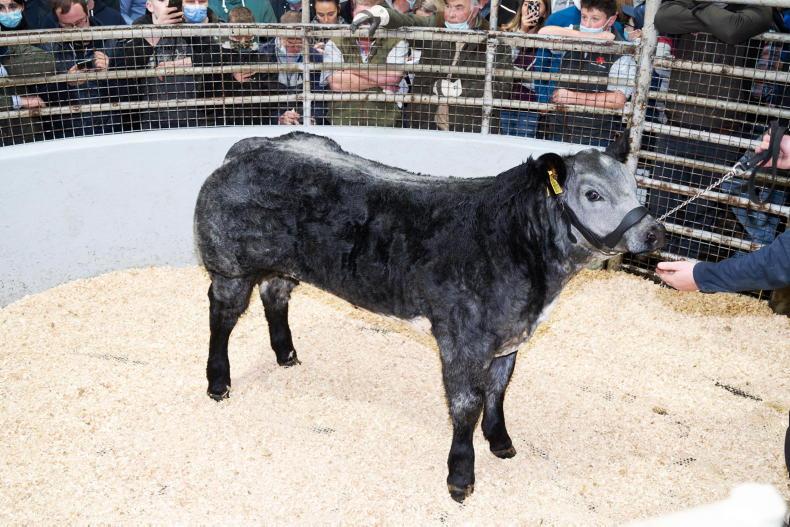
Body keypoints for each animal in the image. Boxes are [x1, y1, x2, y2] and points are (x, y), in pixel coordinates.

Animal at [193, 131, 665, 502]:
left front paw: (501, 442)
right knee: (222, 317)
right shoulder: (463, 338)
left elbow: (498, 391)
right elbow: (466, 404)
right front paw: (461, 476)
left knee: (276, 295)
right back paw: (218, 381)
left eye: (634, 184)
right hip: (230, 266)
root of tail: (253, 145)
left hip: (284, 265)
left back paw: (286, 354)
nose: (655, 231)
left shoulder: (508, 337)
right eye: (592, 194)